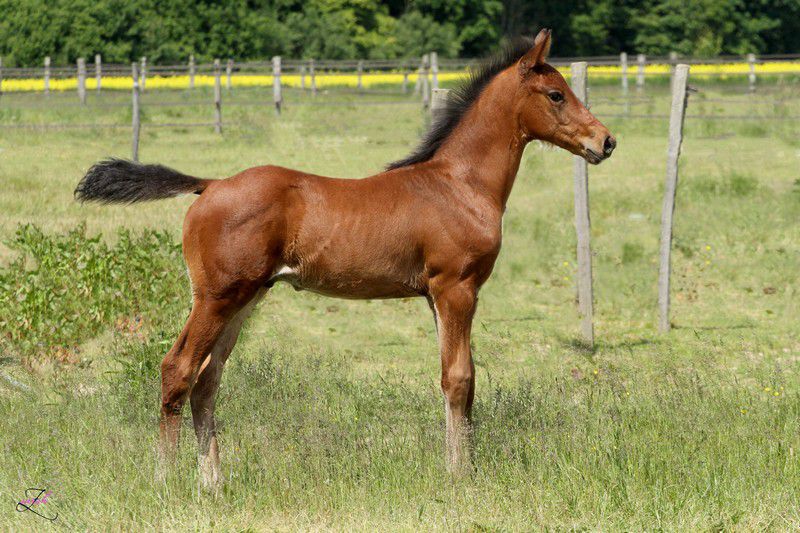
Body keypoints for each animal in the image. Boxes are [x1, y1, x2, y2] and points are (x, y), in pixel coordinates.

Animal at [75, 29, 615, 488]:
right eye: (556, 95)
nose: (605, 141)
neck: (458, 184)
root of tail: (209, 185)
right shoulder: (456, 287)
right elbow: (459, 378)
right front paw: (460, 475)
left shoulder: (436, 296)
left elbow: (462, 377)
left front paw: (463, 464)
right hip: (217, 296)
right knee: (178, 369)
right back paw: (167, 483)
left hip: (246, 298)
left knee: (208, 381)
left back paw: (215, 483)